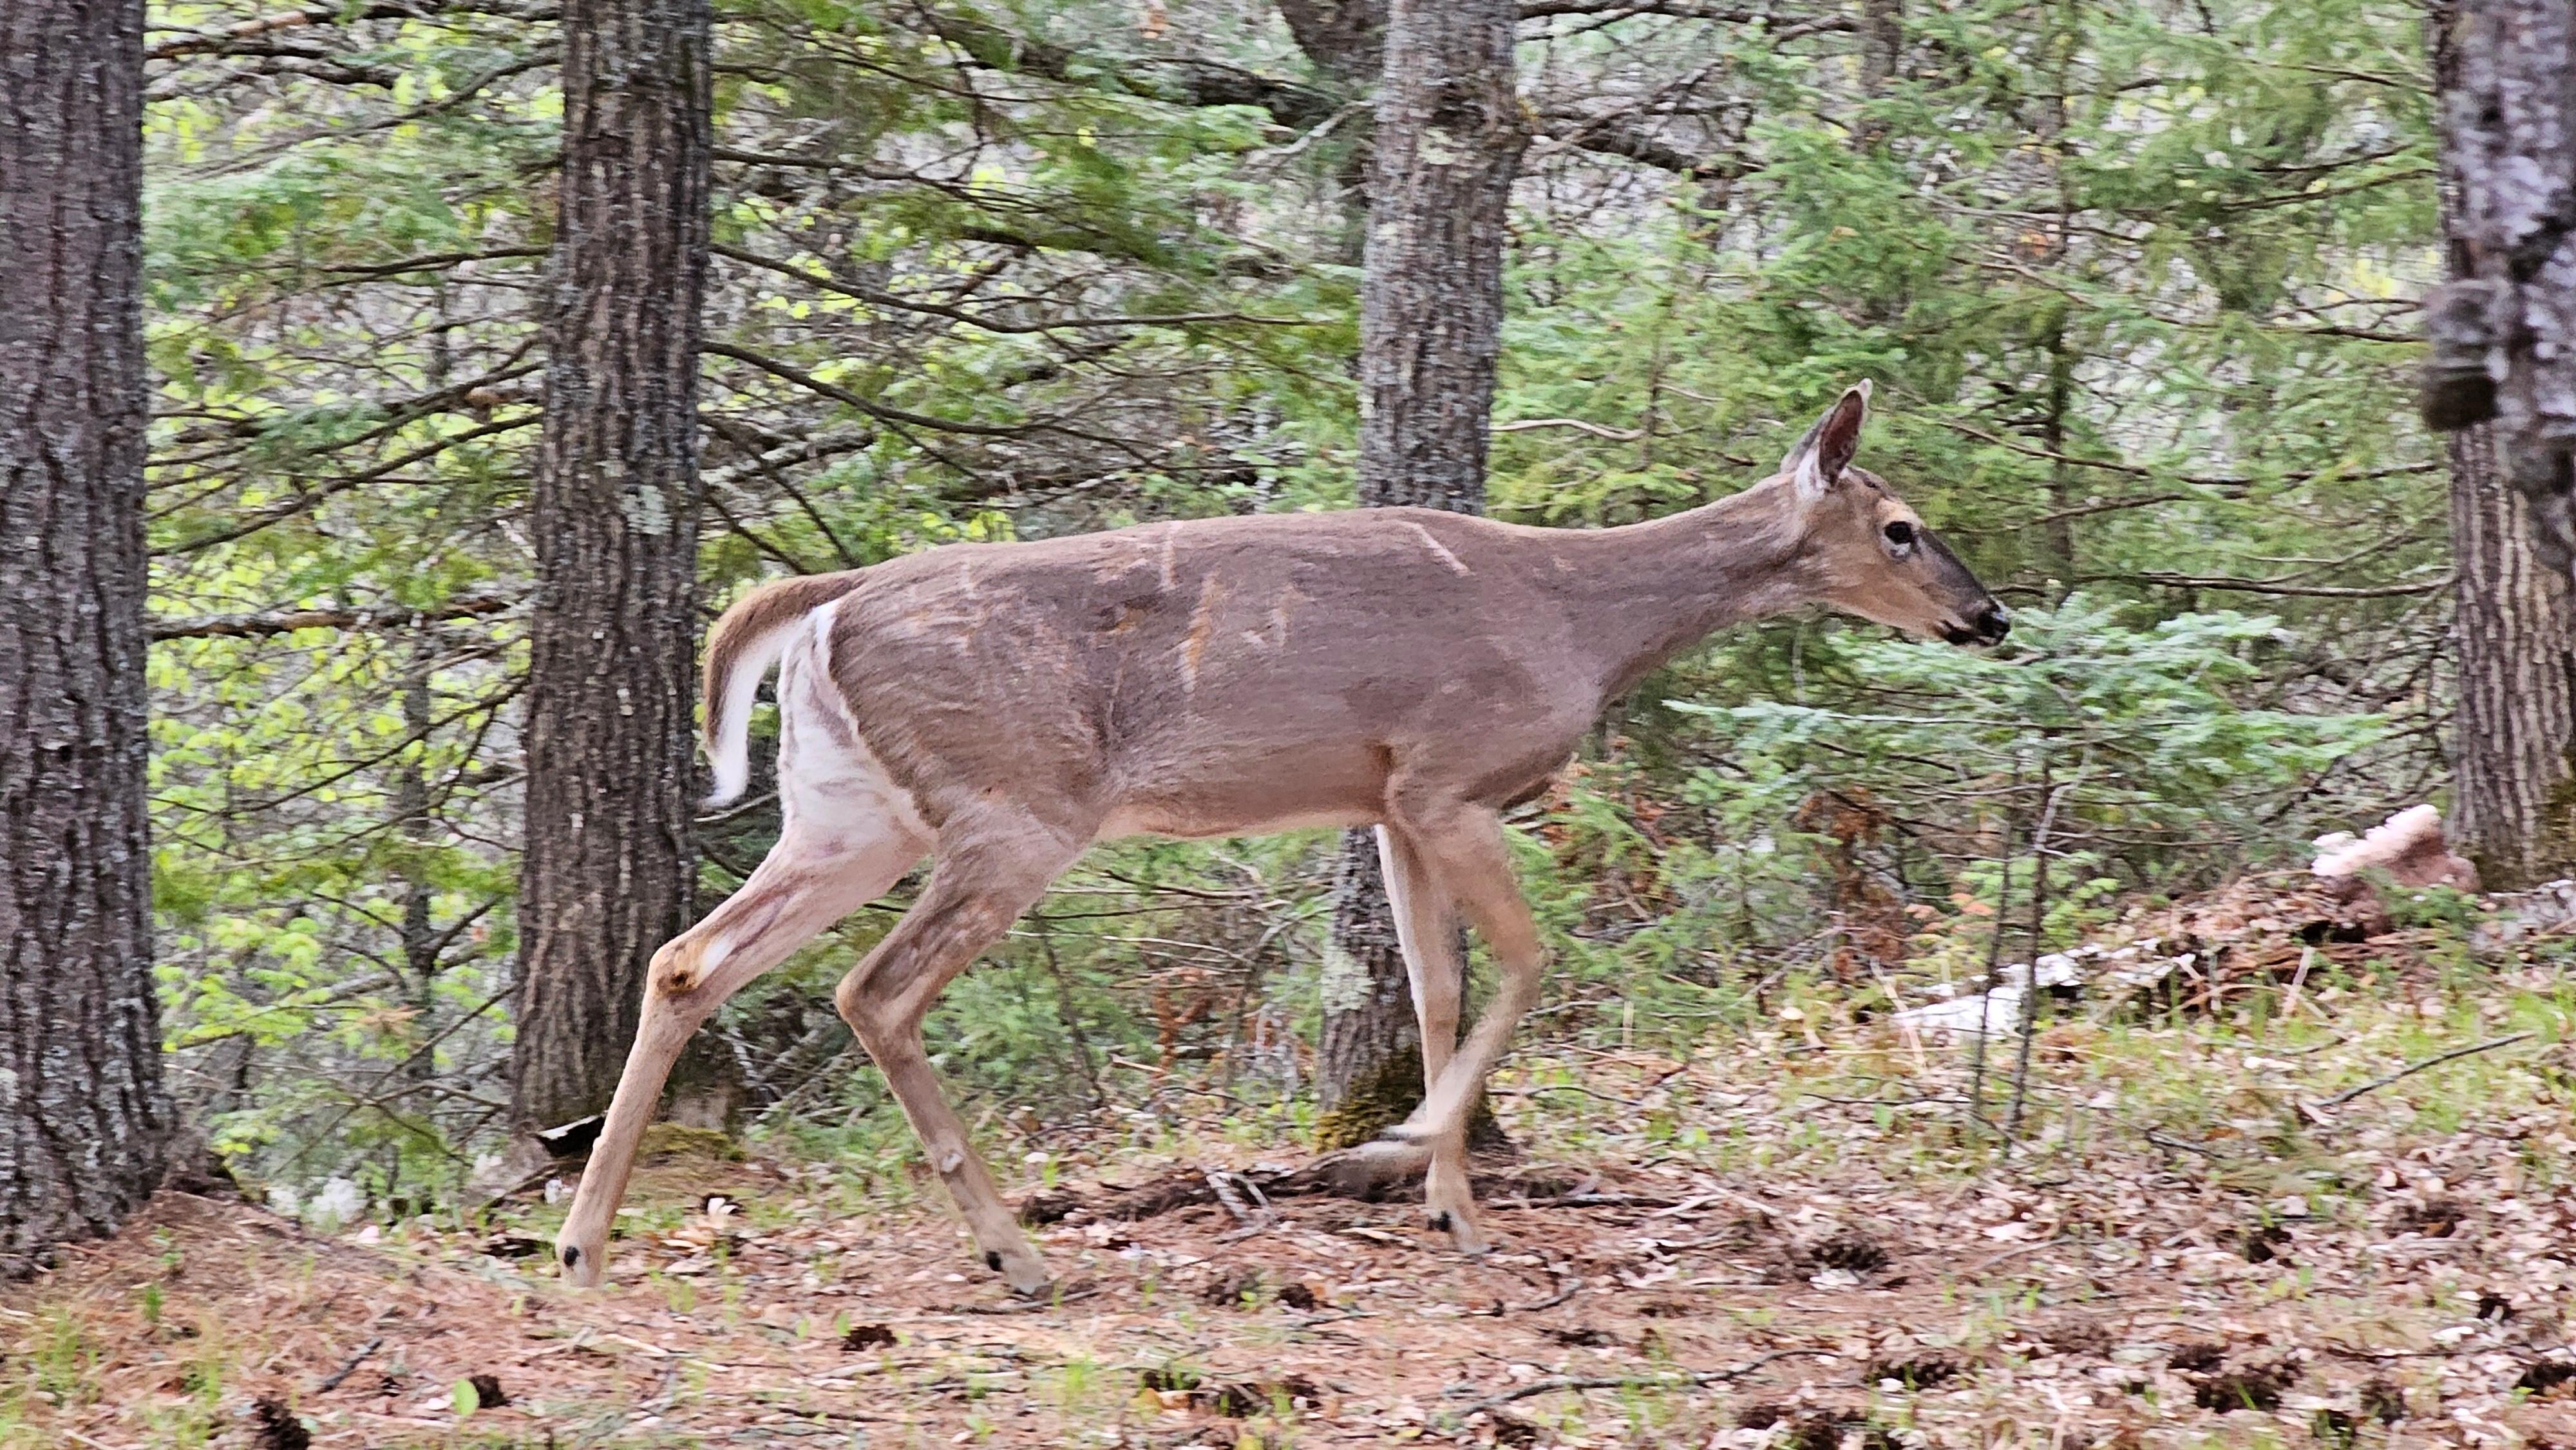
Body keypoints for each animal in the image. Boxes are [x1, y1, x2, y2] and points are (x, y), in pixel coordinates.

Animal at [552, 381, 2009, 1293]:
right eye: (1900, 527)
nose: (1989, 616)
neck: (1579, 619)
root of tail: (829, 603)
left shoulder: (1390, 802)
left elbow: (1434, 988)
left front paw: (1455, 1210)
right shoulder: (1449, 777)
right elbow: (1527, 965)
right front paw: (1399, 1151)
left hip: (849, 812)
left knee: (690, 958)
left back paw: (583, 1244)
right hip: (1014, 807)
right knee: (873, 988)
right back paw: (1016, 1254)